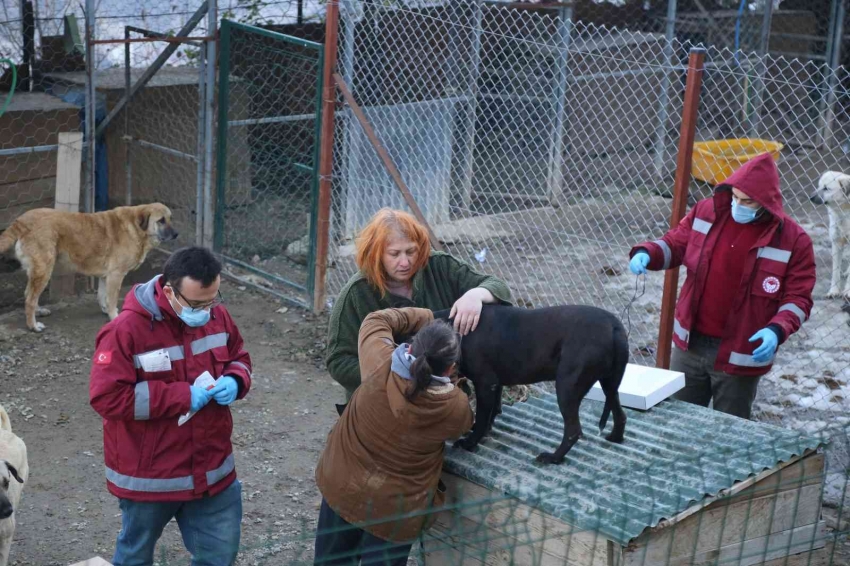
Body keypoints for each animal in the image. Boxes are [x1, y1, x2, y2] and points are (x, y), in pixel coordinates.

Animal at [0, 204, 177, 330]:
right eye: (161, 220)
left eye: (170, 218)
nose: (177, 234)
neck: (136, 228)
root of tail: (22, 220)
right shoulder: (116, 275)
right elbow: (112, 298)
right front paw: (114, 316)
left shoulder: (106, 276)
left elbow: (102, 295)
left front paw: (106, 310)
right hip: (44, 269)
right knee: (30, 298)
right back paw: (33, 325)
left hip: (39, 271)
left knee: (29, 294)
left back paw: (39, 312)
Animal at [434, 306, 628, 466]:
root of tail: (614, 325)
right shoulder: (495, 384)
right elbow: (492, 412)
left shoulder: (485, 384)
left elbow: (482, 418)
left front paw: (470, 443)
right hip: (609, 384)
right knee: (620, 414)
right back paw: (615, 437)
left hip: (567, 387)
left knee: (573, 430)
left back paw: (553, 457)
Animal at [808, 171, 848, 300]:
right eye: (819, 186)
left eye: (826, 188)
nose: (810, 197)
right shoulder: (836, 242)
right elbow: (835, 271)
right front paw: (833, 291)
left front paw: (848, 291)